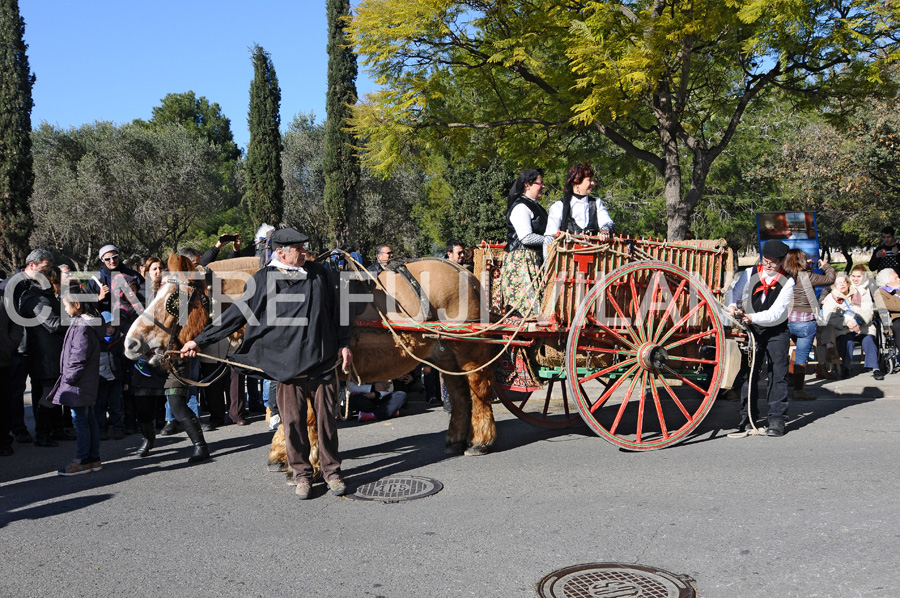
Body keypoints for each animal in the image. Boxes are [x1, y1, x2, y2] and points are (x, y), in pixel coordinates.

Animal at [122, 255, 500, 466]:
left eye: (173, 298)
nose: (131, 342)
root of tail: (464, 271)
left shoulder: (315, 369)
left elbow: (305, 415)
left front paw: (311, 461)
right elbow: (287, 411)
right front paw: (282, 454)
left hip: (467, 350)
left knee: (478, 390)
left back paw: (481, 441)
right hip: (443, 353)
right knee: (459, 393)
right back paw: (456, 439)